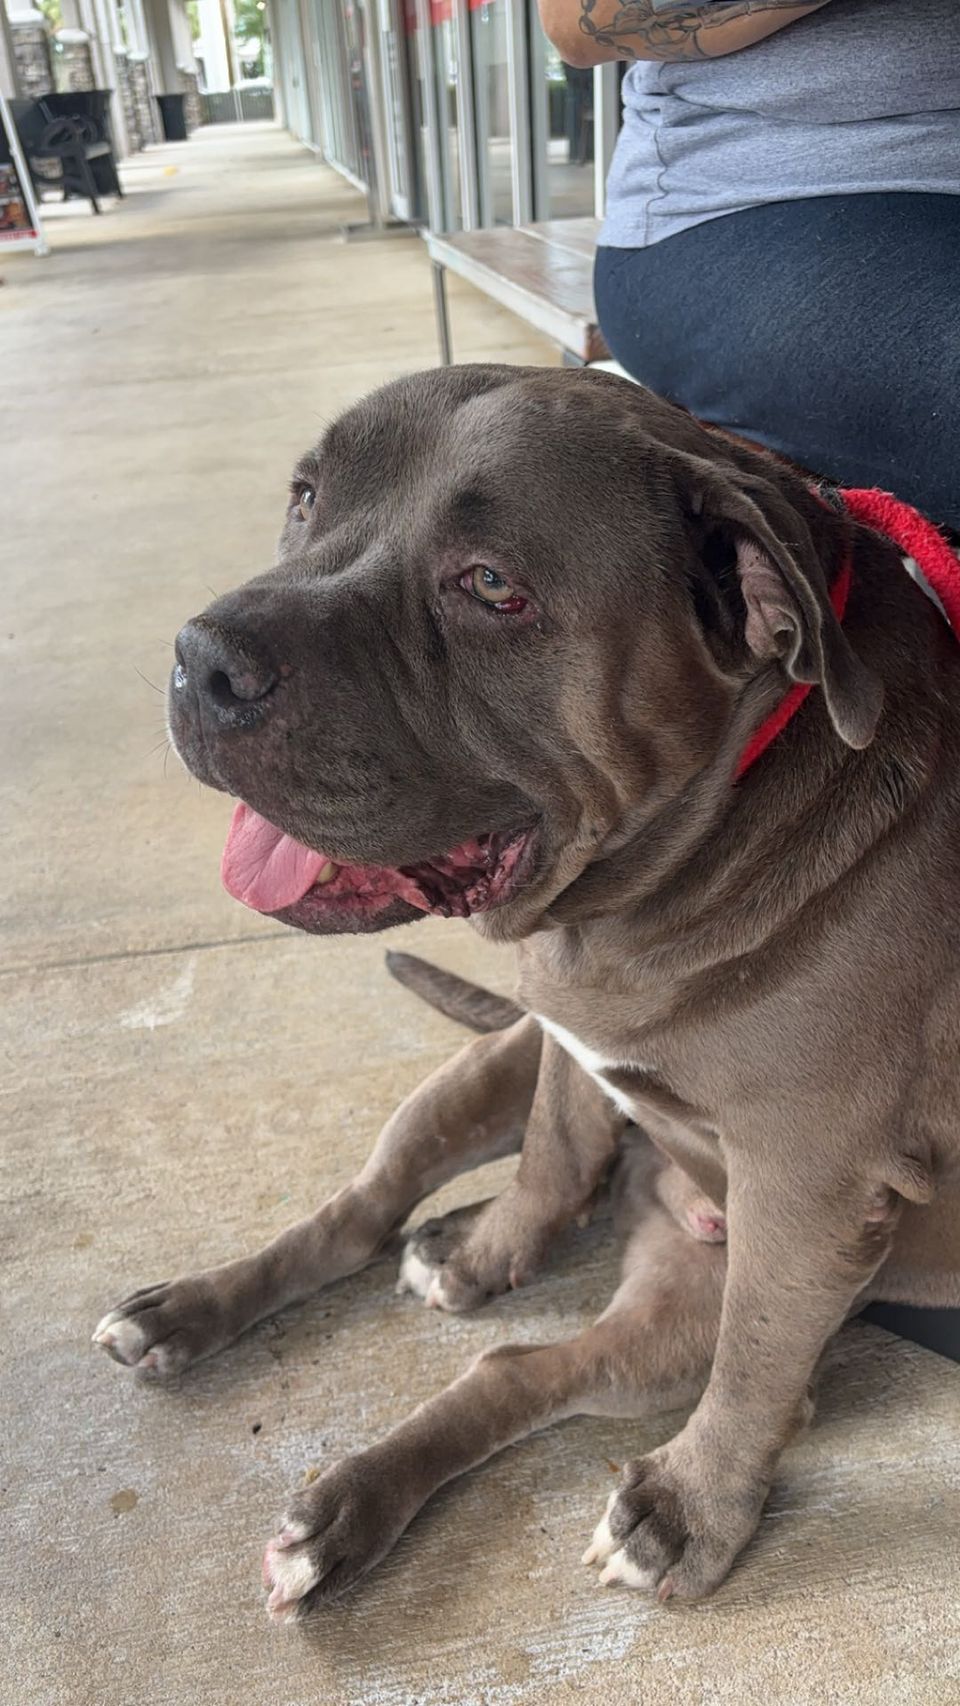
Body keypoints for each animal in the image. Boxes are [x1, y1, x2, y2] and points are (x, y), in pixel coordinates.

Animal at [93, 365, 960, 1620]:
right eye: (306, 495)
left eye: (491, 586)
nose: (201, 655)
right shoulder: (559, 1038)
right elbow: (553, 1142)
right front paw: (497, 1242)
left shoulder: (810, 1191)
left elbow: (755, 1363)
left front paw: (692, 1505)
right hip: (468, 1078)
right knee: (362, 1213)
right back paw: (212, 1307)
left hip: (688, 1303)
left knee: (530, 1369)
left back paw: (349, 1506)